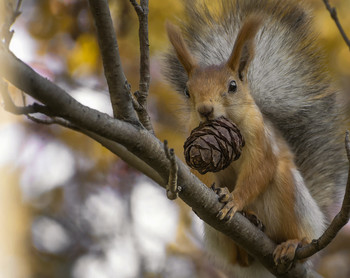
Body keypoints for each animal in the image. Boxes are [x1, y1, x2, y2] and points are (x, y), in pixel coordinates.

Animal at [163, 0, 348, 276]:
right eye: (187, 91)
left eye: (232, 86)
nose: (205, 110)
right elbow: (203, 174)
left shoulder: (261, 140)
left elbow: (259, 170)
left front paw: (235, 200)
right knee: (239, 259)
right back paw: (246, 236)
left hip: (291, 195)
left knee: (295, 227)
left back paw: (292, 243)